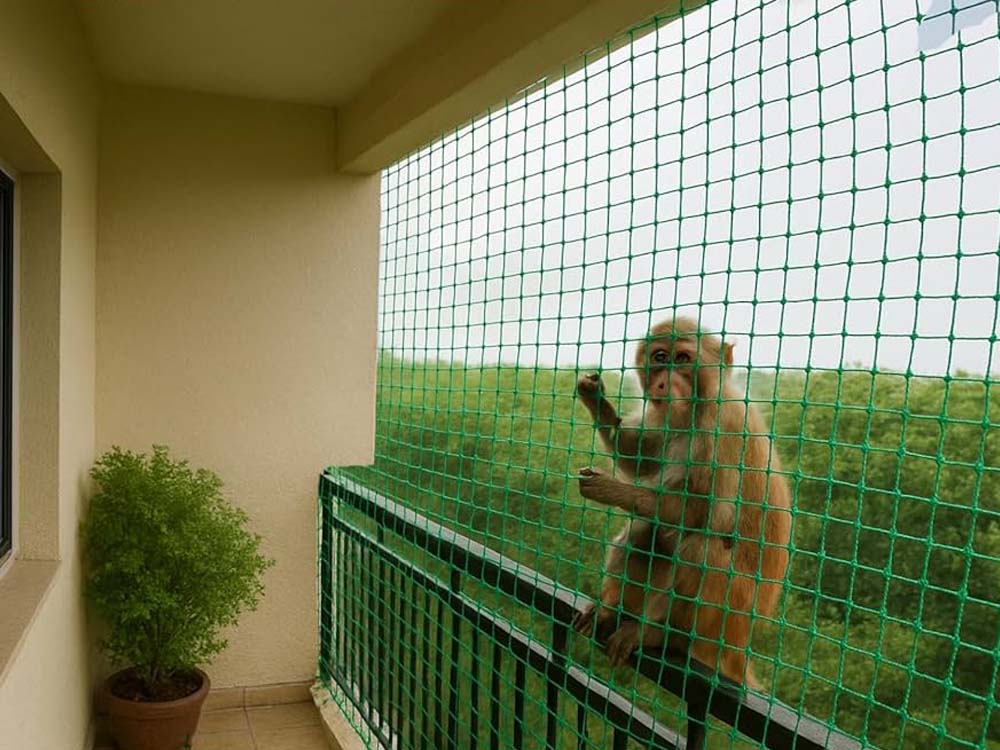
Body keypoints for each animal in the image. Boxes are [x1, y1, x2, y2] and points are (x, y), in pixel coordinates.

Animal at [572, 316, 791, 689]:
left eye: (683, 359)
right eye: (660, 358)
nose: (664, 382)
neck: (696, 408)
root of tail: (737, 648)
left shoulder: (723, 427)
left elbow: (701, 515)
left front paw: (614, 490)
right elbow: (642, 458)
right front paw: (598, 402)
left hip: (730, 615)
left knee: (702, 547)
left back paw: (659, 635)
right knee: (645, 532)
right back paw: (611, 609)